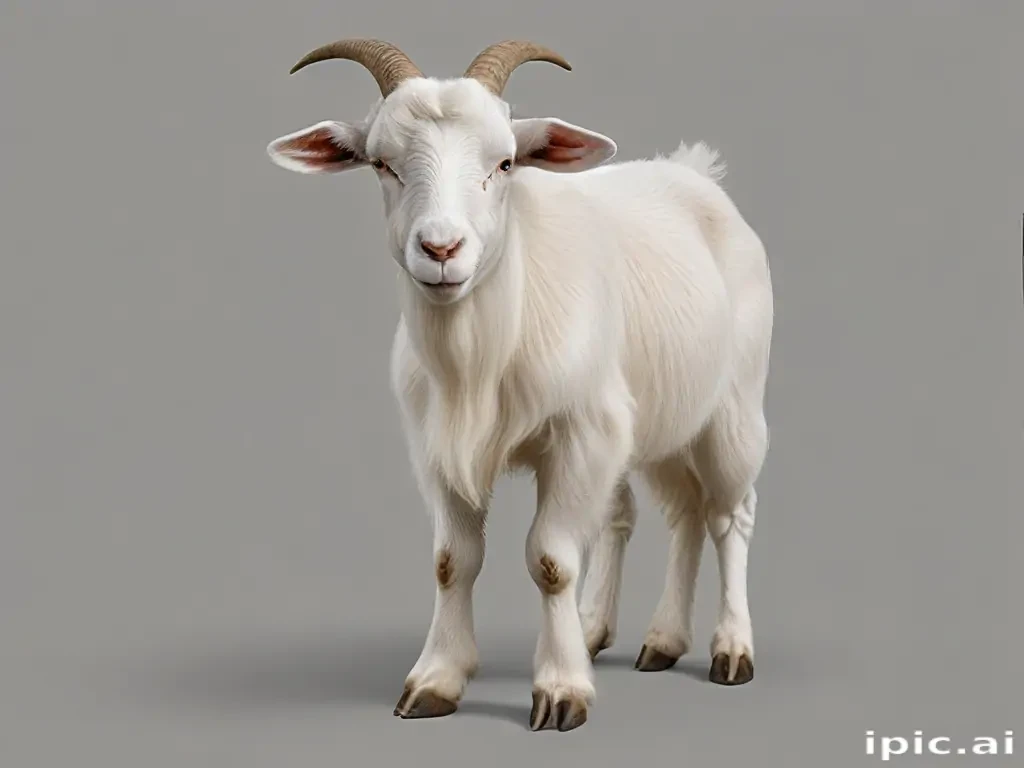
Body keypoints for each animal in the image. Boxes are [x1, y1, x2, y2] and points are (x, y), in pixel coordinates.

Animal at [268, 39, 774, 732]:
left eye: (505, 162)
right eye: (382, 163)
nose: (441, 248)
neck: (481, 361)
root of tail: (695, 173)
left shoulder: (582, 433)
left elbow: (553, 560)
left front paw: (561, 690)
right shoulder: (438, 448)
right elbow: (452, 561)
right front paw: (436, 680)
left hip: (733, 408)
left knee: (729, 516)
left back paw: (732, 649)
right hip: (657, 422)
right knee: (669, 514)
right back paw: (645, 637)